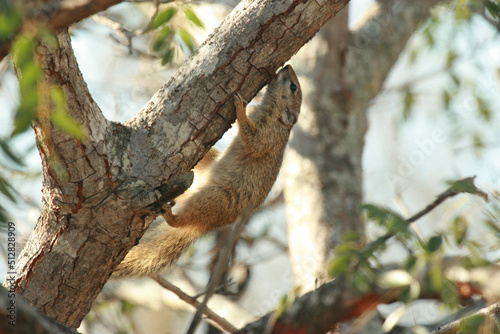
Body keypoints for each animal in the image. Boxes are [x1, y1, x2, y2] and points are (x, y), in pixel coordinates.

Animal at [113, 64, 300, 276]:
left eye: (293, 87)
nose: (287, 66)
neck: (276, 120)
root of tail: (206, 226)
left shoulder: (267, 138)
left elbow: (252, 140)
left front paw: (240, 108)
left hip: (213, 199)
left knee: (179, 221)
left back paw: (170, 215)